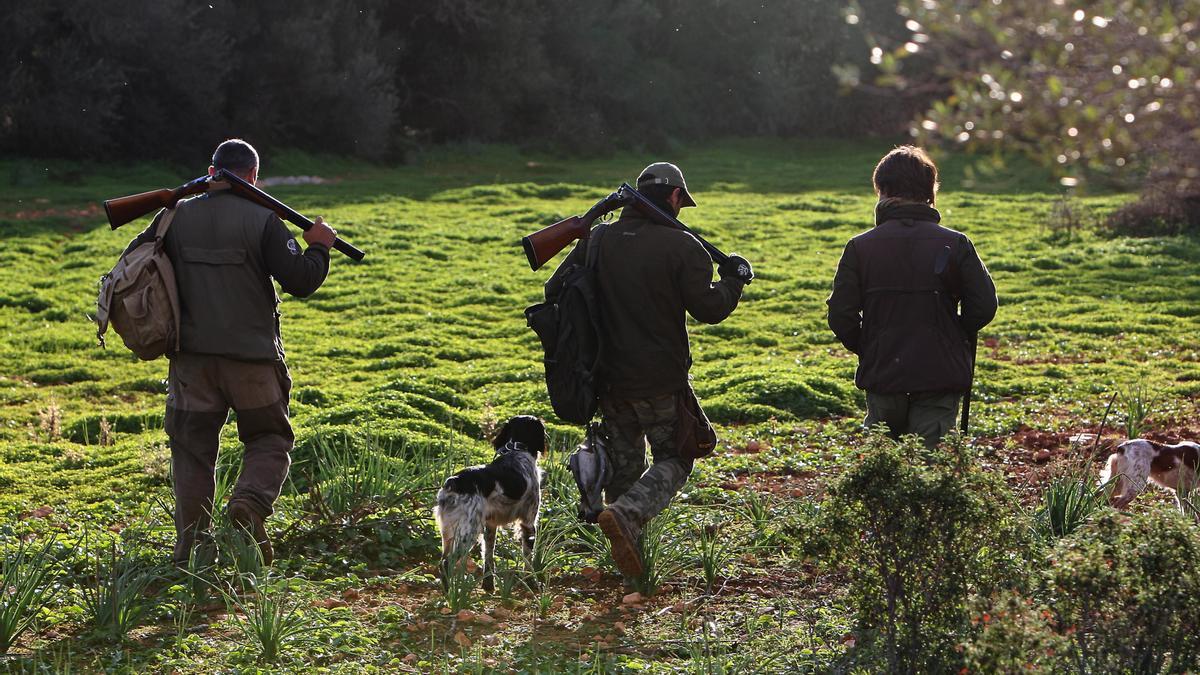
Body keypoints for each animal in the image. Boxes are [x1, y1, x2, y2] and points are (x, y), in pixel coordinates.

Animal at [434, 415, 547, 588]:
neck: (517, 450)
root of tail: (453, 482)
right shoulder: (528, 523)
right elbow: (527, 559)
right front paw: (532, 583)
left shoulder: (491, 526)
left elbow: (488, 556)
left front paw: (488, 586)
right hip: (468, 532)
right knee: (447, 563)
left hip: (448, 532)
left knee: (443, 561)